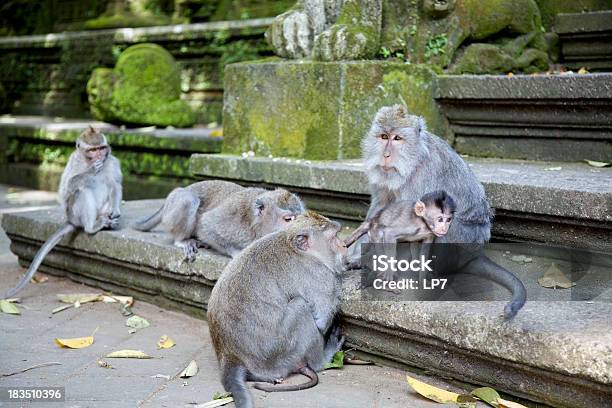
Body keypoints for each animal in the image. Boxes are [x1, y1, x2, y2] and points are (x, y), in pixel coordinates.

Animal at [2, 126, 122, 298]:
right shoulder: (74, 161)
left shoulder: (112, 162)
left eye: (101, 148)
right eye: (93, 150)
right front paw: (91, 170)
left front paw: (116, 210)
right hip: (74, 214)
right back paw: (92, 226)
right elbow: (66, 189)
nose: (99, 156)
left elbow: (115, 185)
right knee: (82, 192)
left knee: (108, 187)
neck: (87, 161)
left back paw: (108, 221)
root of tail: (71, 220)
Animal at [134, 180, 306, 260]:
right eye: (288, 219)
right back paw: (182, 240)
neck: (256, 225)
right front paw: (237, 252)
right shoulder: (232, 216)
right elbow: (206, 226)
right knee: (189, 199)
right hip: (175, 204)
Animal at [208, 212, 346, 406]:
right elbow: (321, 321)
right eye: (334, 238)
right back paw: (323, 360)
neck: (294, 246)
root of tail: (230, 356)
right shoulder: (321, 276)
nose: (344, 246)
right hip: (278, 353)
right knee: (301, 308)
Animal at [358, 105, 524, 318]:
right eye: (383, 136)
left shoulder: (420, 179)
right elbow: (380, 210)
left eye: (397, 138)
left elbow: (417, 225)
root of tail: (475, 254)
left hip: (463, 244)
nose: (385, 155)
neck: (413, 161)